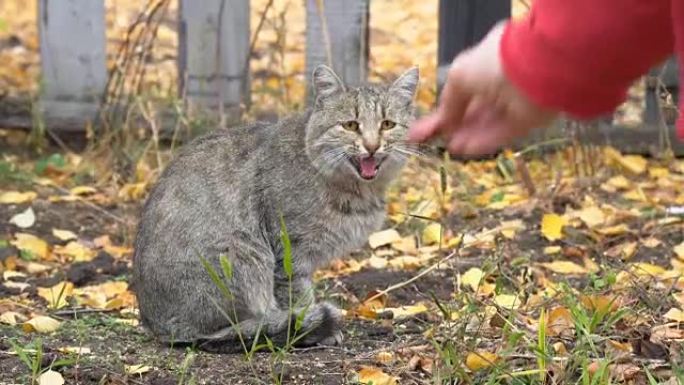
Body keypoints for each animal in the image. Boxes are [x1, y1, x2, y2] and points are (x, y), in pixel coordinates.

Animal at [132, 63, 420, 352]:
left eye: (387, 124)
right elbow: (298, 296)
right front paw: (311, 327)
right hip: (243, 253)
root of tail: (157, 324)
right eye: (350, 125)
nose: (372, 146)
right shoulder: (290, 250)